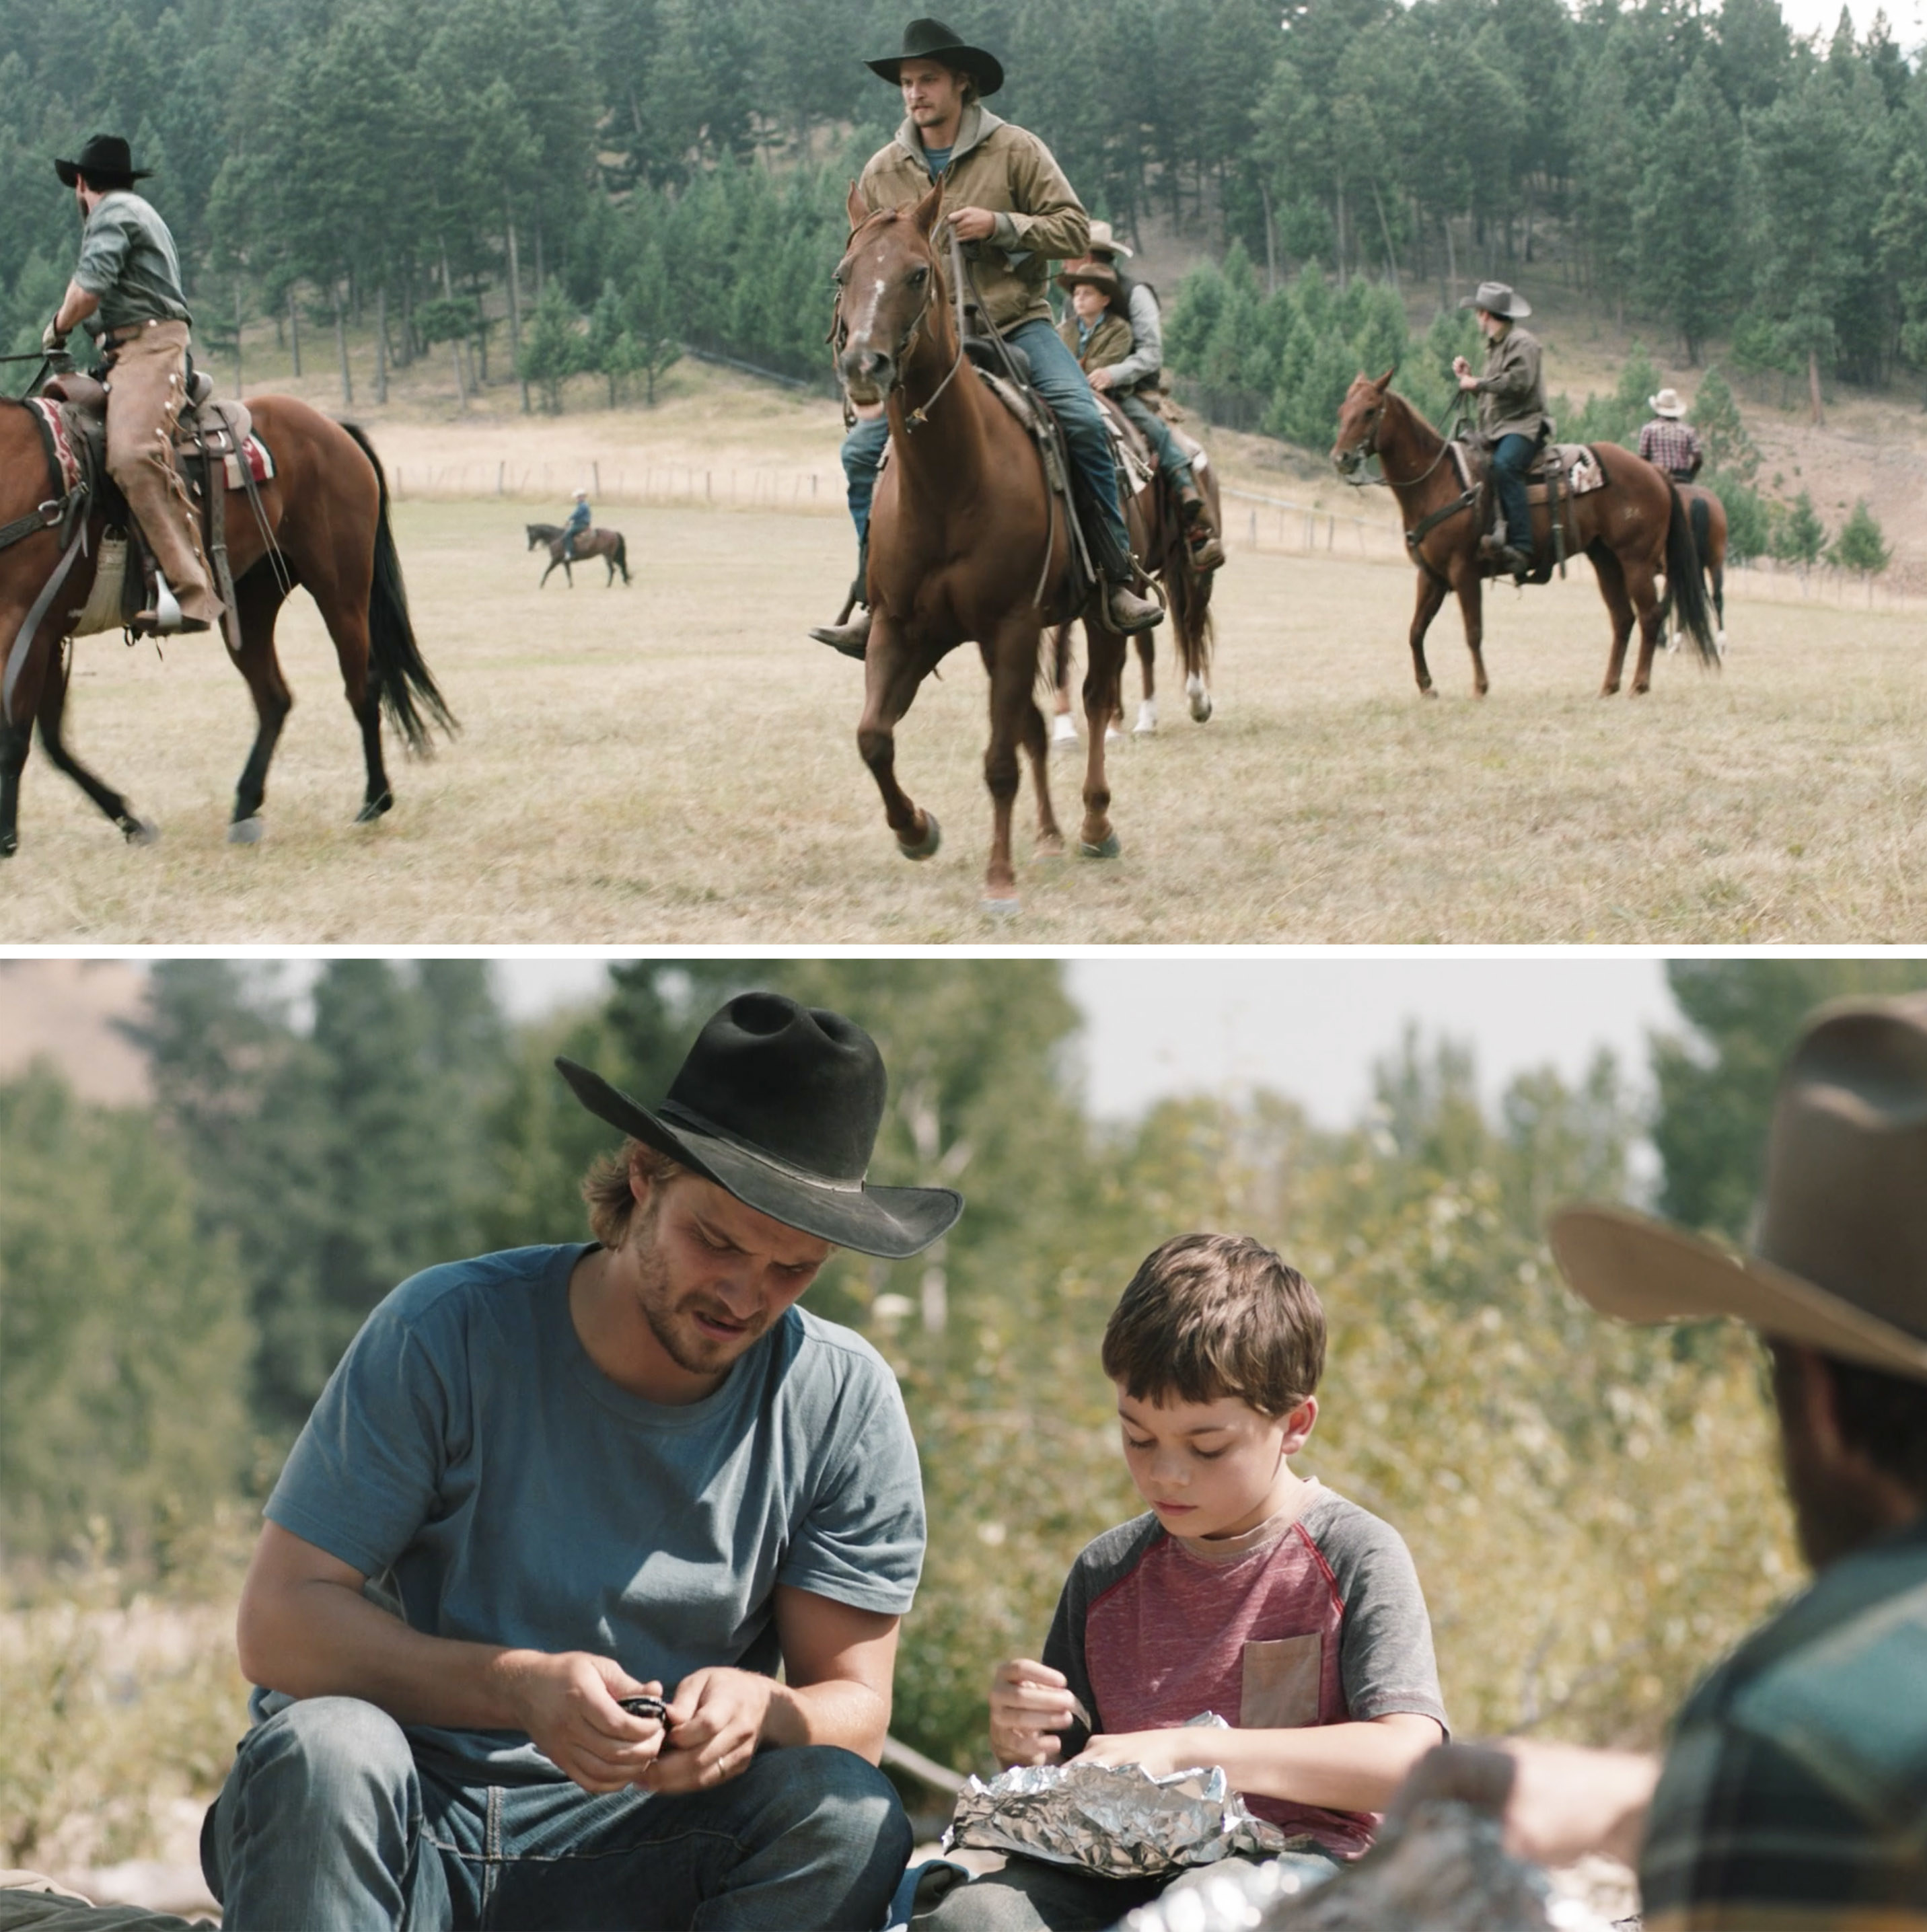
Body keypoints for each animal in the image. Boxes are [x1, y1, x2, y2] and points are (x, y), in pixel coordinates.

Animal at [0, 388, 452, 858]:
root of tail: (334, 430)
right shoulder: (48, 634)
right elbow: (52, 740)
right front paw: (130, 821)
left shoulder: (24, 625)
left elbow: (15, 736)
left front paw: (6, 839)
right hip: (252, 604)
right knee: (274, 699)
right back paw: (245, 808)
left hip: (340, 591)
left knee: (362, 686)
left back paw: (374, 800)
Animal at [831, 178, 1128, 907]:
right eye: (844, 273)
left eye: (916, 273)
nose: (863, 364)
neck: (948, 482)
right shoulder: (900, 628)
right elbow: (873, 737)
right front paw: (915, 830)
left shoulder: (1012, 624)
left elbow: (998, 761)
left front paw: (998, 879)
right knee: (1033, 725)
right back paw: (1048, 835)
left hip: (1095, 619)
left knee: (1094, 702)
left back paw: (1093, 824)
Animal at [1321, 365, 1716, 699]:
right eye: (1342, 410)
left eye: (1370, 411)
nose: (1341, 458)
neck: (1436, 482)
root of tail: (1654, 472)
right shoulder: (1431, 576)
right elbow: (1416, 630)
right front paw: (1427, 687)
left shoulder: (1464, 572)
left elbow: (1473, 632)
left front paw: (1480, 687)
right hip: (1606, 560)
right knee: (1623, 619)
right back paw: (1608, 687)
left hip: (1637, 561)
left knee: (1650, 617)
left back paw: (1639, 685)